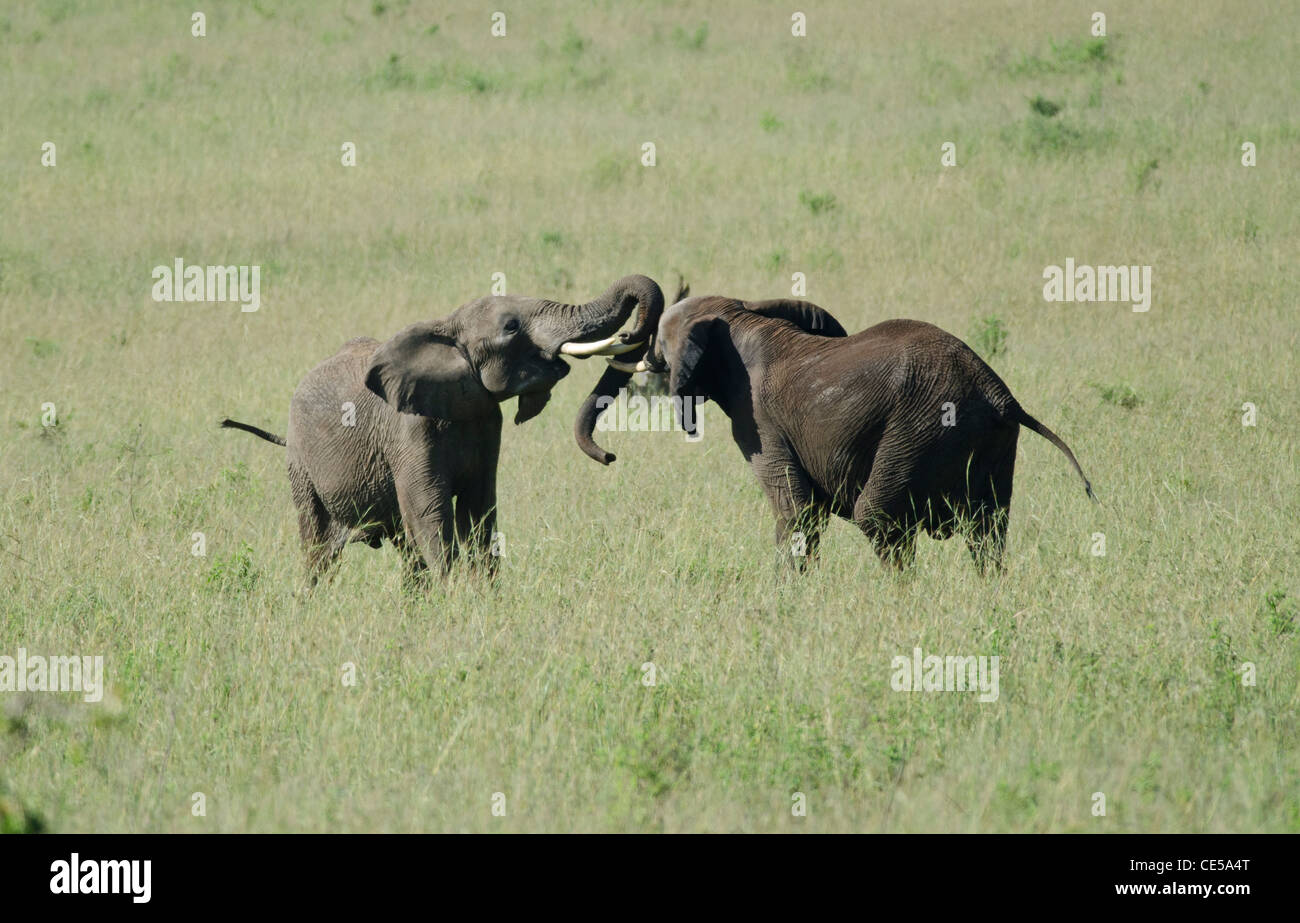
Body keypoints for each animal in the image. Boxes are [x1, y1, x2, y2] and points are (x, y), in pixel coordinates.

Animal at [220, 274, 660, 590]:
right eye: (511, 326)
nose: (610, 456)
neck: (447, 328)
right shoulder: (409, 431)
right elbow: (431, 512)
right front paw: (456, 602)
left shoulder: (485, 419)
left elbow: (478, 510)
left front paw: (483, 601)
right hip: (300, 465)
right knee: (317, 546)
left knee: (403, 546)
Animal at [613, 295, 1092, 572]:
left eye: (659, 339)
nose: (632, 342)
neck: (738, 314)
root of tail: (999, 393)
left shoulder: (761, 424)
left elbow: (798, 514)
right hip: (989, 443)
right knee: (988, 529)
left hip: (920, 429)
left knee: (876, 516)